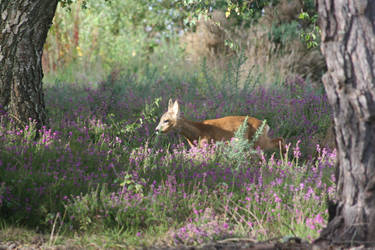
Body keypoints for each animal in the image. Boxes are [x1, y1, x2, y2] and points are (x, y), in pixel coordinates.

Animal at [156, 98, 284, 151]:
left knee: (279, 141)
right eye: (160, 119)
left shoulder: (206, 144)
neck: (197, 132)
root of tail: (266, 125)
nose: (156, 129)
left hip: (259, 141)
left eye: (166, 120)